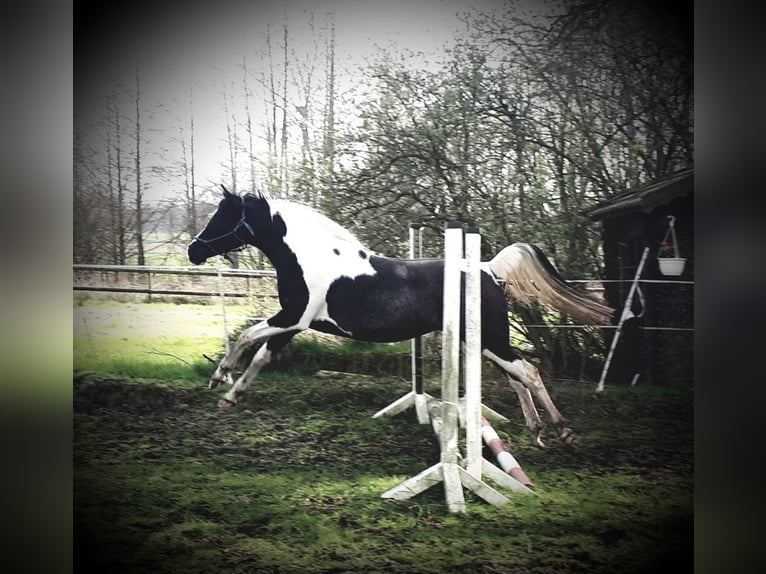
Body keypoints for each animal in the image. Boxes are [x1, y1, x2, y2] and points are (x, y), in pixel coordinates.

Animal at [189, 189, 616, 450]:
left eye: (223, 216)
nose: (194, 250)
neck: (309, 258)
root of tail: (489, 270)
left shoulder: (293, 317)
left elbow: (248, 337)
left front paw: (220, 378)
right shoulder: (295, 324)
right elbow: (261, 355)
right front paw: (229, 394)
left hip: (490, 339)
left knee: (528, 371)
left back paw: (561, 430)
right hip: (481, 341)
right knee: (518, 375)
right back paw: (537, 431)